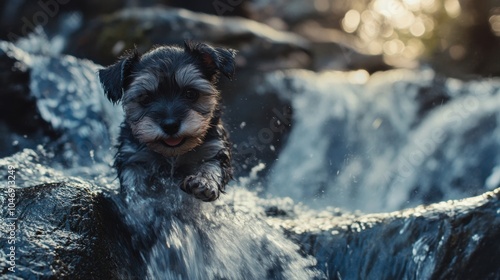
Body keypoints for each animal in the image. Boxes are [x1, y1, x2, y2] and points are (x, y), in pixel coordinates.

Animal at [100, 42, 238, 201]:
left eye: (191, 93)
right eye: (145, 99)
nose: (170, 125)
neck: (172, 155)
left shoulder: (214, 147)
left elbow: (212, 166)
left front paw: (204, 182)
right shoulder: (132, 155)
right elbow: (133, 176)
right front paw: (137, 193)